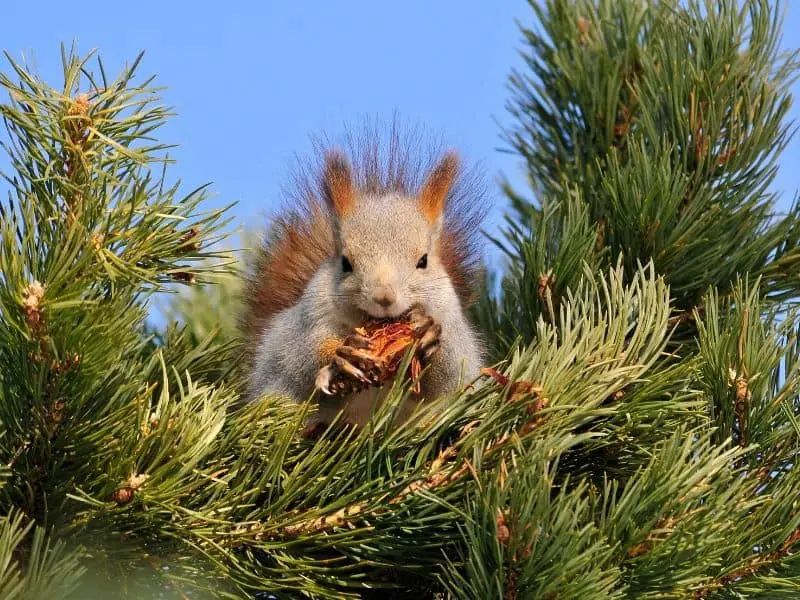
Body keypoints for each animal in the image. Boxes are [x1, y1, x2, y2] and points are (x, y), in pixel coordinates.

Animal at [241, 124, 484, 428]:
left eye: (424, 261)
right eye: (345, 263)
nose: (384, 297)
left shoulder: (452, 321)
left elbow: (450, 372)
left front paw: (429, 335)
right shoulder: (306, 322)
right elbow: (302, 357)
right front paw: (342, 355)